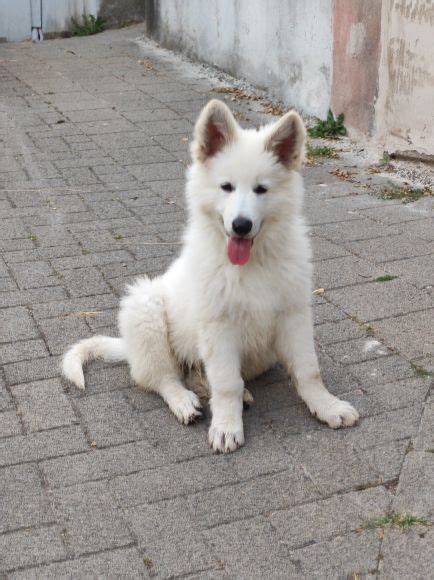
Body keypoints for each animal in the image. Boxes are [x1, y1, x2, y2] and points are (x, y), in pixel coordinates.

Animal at [62, 99, 360, 454]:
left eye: (261, 190)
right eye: (226, 187)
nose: (241, 226)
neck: (249, 264)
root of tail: (129, 348)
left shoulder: (293, 314)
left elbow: (308, 370)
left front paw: (327, 406)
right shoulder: (218, 327)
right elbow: (226, 383)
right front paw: (227, 427)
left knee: (202, 375)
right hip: (145, 309)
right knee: (161, 378)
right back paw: (185, 402)